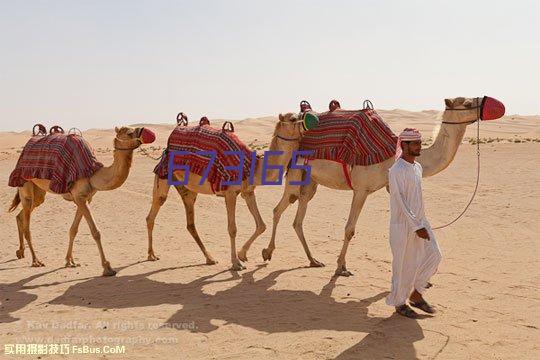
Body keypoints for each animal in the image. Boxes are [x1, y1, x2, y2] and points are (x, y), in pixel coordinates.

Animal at [8, 126, 156, 276]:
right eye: (129, 133)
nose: (146, 131)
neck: (93, 174)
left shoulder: (85, 198)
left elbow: (73, 229)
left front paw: (70, 261)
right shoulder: (79, 197)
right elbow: (95, 232)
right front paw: (107, 267)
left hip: (38, 193)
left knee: (21, 215)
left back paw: (20, 252)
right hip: (24, 184)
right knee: (27, 224)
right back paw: (36, 261)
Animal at [146, 113, 312, 270]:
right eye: (293, 118)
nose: (309, 121)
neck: (253, 167)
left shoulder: (248, 192)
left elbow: (261, 225)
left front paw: (243, 254)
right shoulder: (231, 193)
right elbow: (232, 229)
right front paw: (236, 263)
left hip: (188, 189)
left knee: (190, 223)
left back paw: (210, 258)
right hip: (164, 174)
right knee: (154, 211)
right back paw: (151, 255)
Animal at [260, 95, 504, 276]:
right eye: (467, 103)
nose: (492, 103)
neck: (391, 154)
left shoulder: (389, 187)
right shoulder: (361, 189)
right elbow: (350, 229)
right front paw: (341, 267)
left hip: (310, 182)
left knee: (298, 219)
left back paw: (313, 260)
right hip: (295, 173)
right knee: (278, 209)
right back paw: (267, 252)